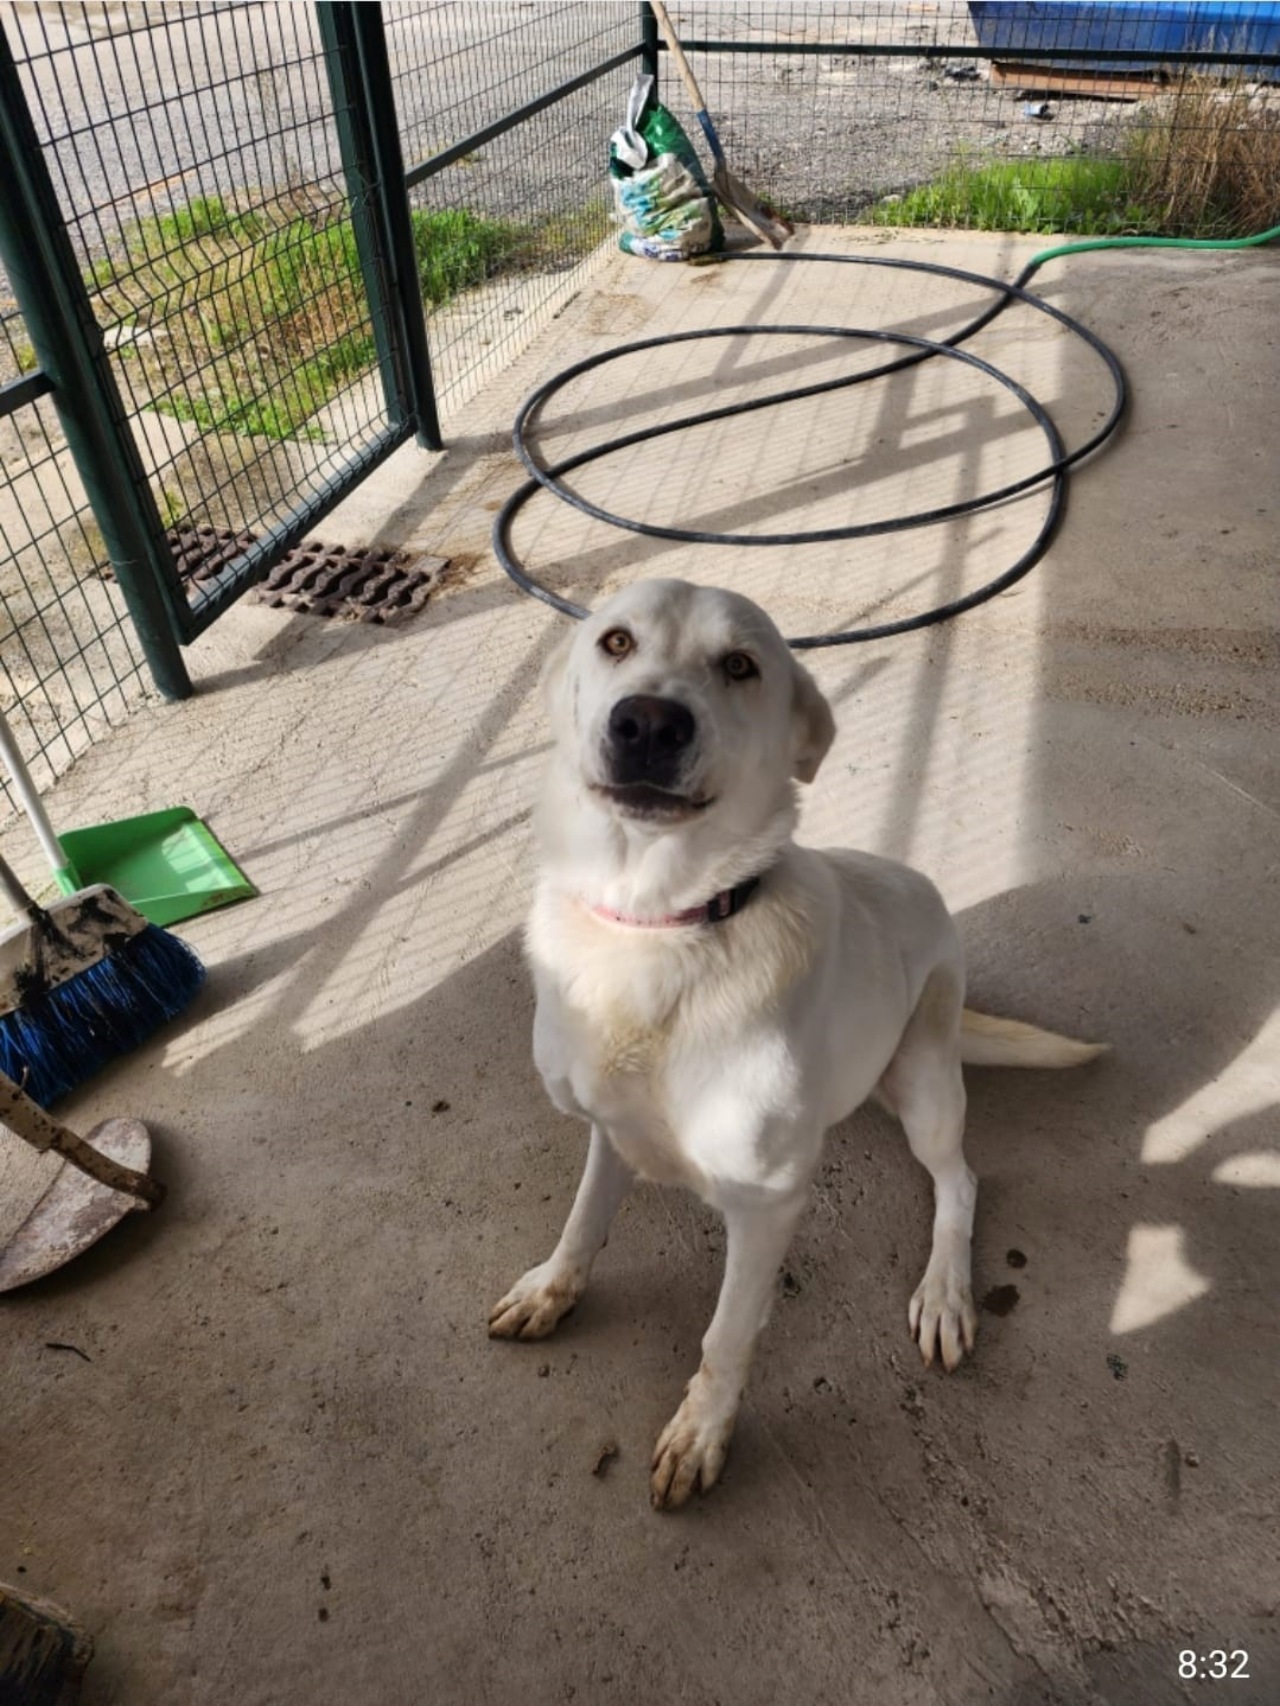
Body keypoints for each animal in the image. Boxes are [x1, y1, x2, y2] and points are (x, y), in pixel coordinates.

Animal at [491, 583, 1105, 1508]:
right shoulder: (609, 1129)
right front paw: (551, 1290)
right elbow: (582, 1222)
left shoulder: (766, 1204)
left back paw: (945, 1292)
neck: (659, 928)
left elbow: (726, 1336)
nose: (648, 723)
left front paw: (702, 1434)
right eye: (616, 641)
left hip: (925, 1078)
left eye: (740, 665)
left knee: (959, 1180)